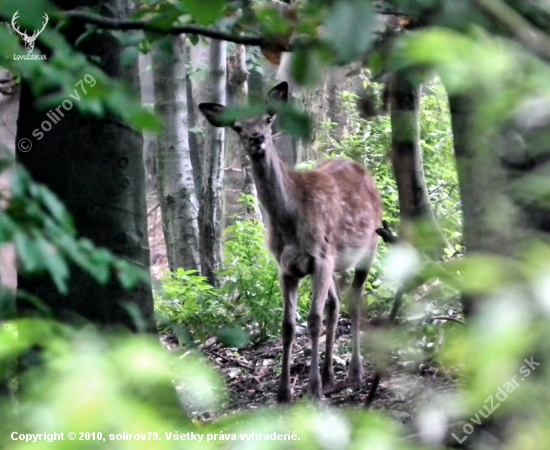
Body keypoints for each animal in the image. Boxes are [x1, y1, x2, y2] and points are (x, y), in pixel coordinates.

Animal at [199, 82, 384, 402]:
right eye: (237, 127)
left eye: (267, 119)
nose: (257, 138)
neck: (289, 219)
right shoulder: (286, 267)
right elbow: (287, 326)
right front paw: (284, 392)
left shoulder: (320, 257)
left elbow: (312, 320)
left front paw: (313, 389)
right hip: (335, 262)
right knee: (335, 304)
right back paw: (330, 374)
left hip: (368, 248)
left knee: (355, 301)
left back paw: (354, 373)